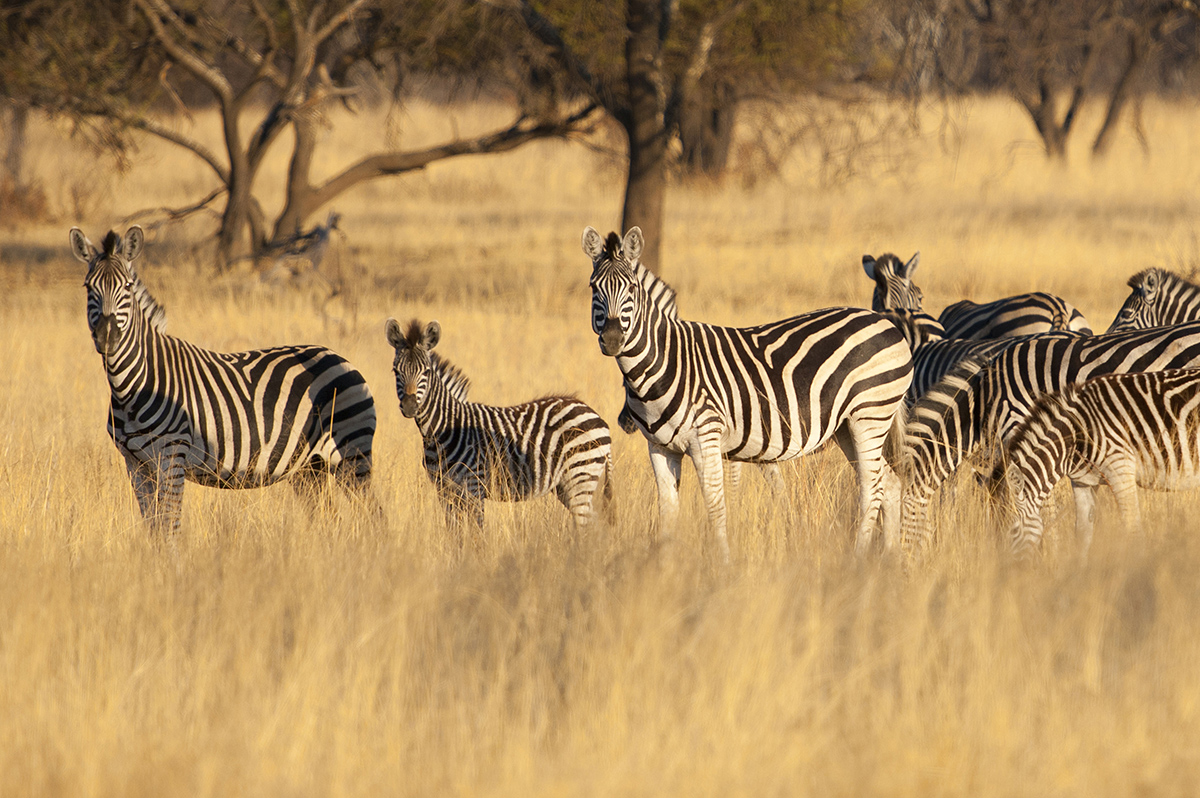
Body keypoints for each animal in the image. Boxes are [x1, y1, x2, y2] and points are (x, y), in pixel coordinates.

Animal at [69, 226, 374, 537]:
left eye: (128, 287)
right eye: (88, 287)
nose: (107, 337)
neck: (131, 388)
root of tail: (337, 355)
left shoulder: (172, 455)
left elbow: (170, 524)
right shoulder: (135, 463)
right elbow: (153, 526)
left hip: (351, 452)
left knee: (372, 513)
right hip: (309, 468)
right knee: (331, 518)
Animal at [384, 316, 614, 535]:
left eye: (427, 372)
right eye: (395, 371)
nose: (410, 406)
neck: (439, 431)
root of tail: (593, 413)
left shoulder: (474, 487)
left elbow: (476, 533)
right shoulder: (444, 490)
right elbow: (455, 534)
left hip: (580, 475)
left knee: (584, 524)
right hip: (566, 484)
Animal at [585, 224, 912, 559]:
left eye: (631, 289)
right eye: (594, 289)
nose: (612, 339)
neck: (667, 360)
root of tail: (885, 322)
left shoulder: (706, 438)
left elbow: (716, 508)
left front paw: (722, 564)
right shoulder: (660, 447)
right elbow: (667, 510)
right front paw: (664, 565)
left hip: (870, 414)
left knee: (872, 488)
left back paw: (858, 559)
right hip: (847, 427)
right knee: (889, 482)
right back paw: (891, 558)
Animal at [998, 369, 1200, 559]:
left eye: (1012, 531)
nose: (1007, 570)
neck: (1076, 434)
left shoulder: (1120, 469)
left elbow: (1132, 529)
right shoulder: (1083, 482)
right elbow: (1082, 535)